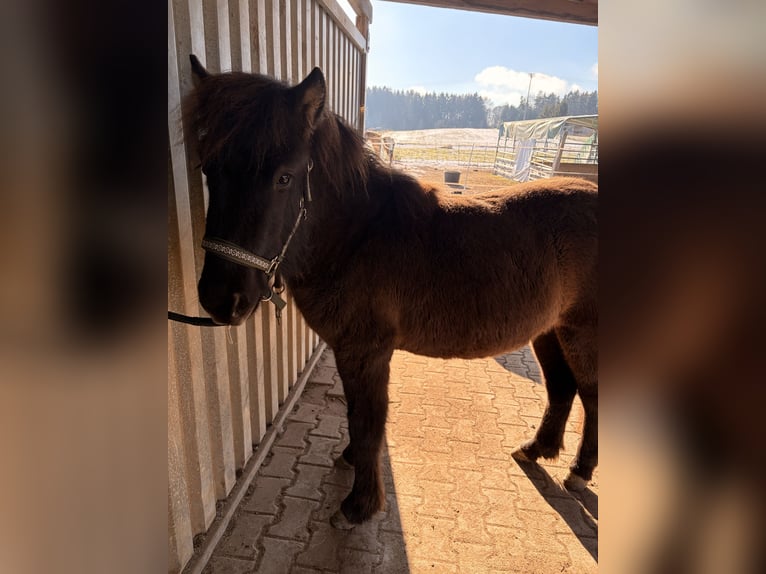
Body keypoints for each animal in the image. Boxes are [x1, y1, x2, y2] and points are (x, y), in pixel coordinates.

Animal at [184, 55, 598, 529]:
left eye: (284, 177)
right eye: (208, 169)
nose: (221, 299)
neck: (355, 237)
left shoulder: (366, 351)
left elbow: (367, 420)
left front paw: (359, 505)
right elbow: (355, 415)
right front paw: (351, 463)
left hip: (583, 333)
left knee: (591, 396)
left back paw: (579, 472)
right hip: (550, 331)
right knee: (563, 389)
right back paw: (535, 450)